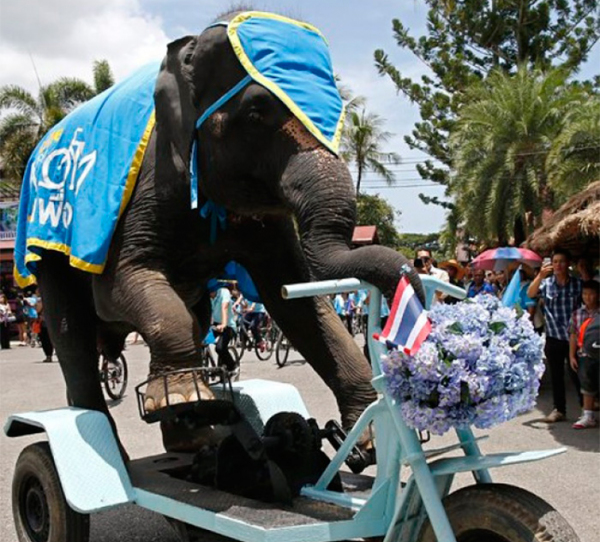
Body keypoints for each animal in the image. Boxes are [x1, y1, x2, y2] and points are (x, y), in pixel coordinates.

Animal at [12, 10, 422, 456]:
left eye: (336, 116)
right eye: (257, 112)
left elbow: (294, 299)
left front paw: (368, 437)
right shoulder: (142, 192)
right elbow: (118, 284)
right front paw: (184, 395)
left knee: (195, 317)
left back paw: (195, 439)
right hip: (45, 253)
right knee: (72, 336)